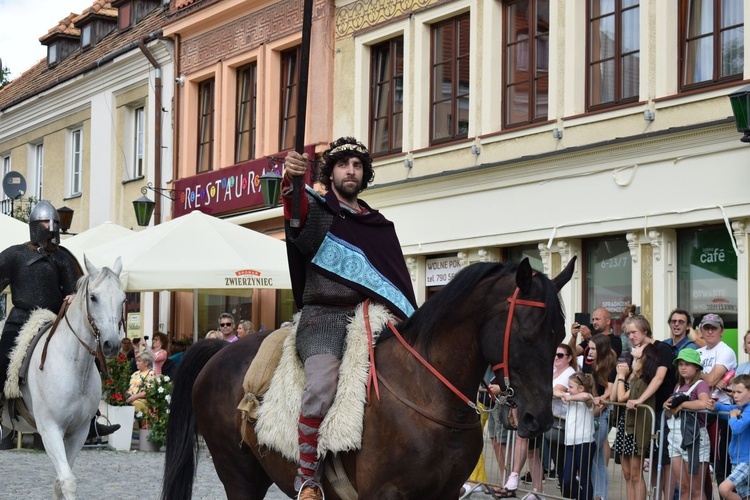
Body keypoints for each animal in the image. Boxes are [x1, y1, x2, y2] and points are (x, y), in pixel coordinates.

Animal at [1, 258, 125, 500]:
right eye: (93, 297)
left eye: (123, 298)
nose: (112, 345)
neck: (72, 364)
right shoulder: (50, 429)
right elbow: (67, 481)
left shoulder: (78, 432)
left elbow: (60, 482)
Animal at [163, 258, 576, 500]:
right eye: (526, 335)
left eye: (559, 335)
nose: (538, 418)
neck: (426, 392)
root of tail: (219, 351)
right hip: (237, 472)